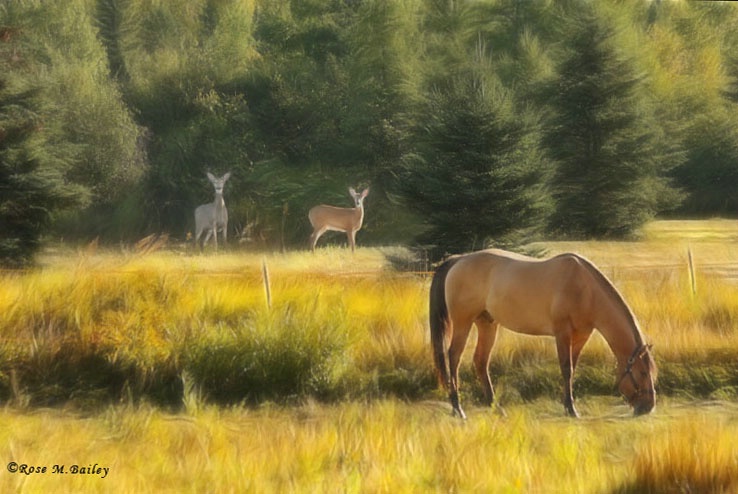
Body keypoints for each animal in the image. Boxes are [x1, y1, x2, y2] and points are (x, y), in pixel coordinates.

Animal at [426, 249, 656, 418]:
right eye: (643, 373)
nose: (648, 406)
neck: (585, 288)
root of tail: (459, 260)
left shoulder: (581, 335)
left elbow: (573, 367)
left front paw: (567, 404)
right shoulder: (562, 333)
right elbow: (566, 368)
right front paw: (571, 409)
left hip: (487, 324)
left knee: (481, 362)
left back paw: (496, 407)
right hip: (463, 323)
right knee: (453, 358)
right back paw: (458, 408)